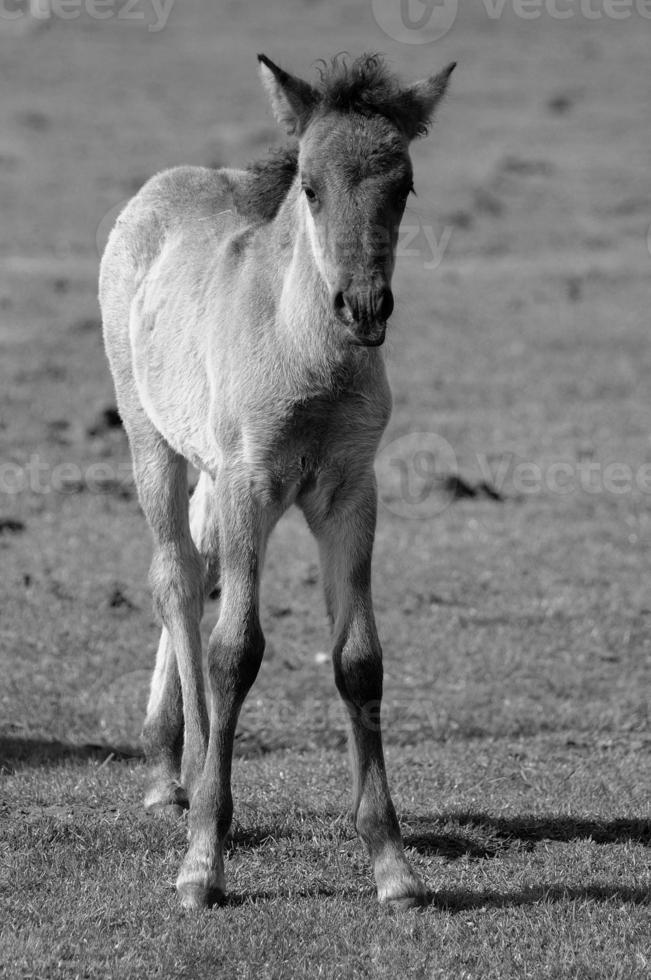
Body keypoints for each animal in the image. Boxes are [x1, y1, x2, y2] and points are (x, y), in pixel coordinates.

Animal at [99, 53, 456, 912]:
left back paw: (167, 759)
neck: (306, 357)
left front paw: (392, 867)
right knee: (176, 578)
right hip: (151, 440)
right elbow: (235, 651)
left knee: (196, 563)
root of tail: (165, 184)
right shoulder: (250, 484)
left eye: (404, 186)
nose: (362, 306)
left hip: (207, 466)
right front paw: (203, 864)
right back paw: (185, 774)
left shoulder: (349, 492)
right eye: (311, 186)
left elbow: (358, 659)